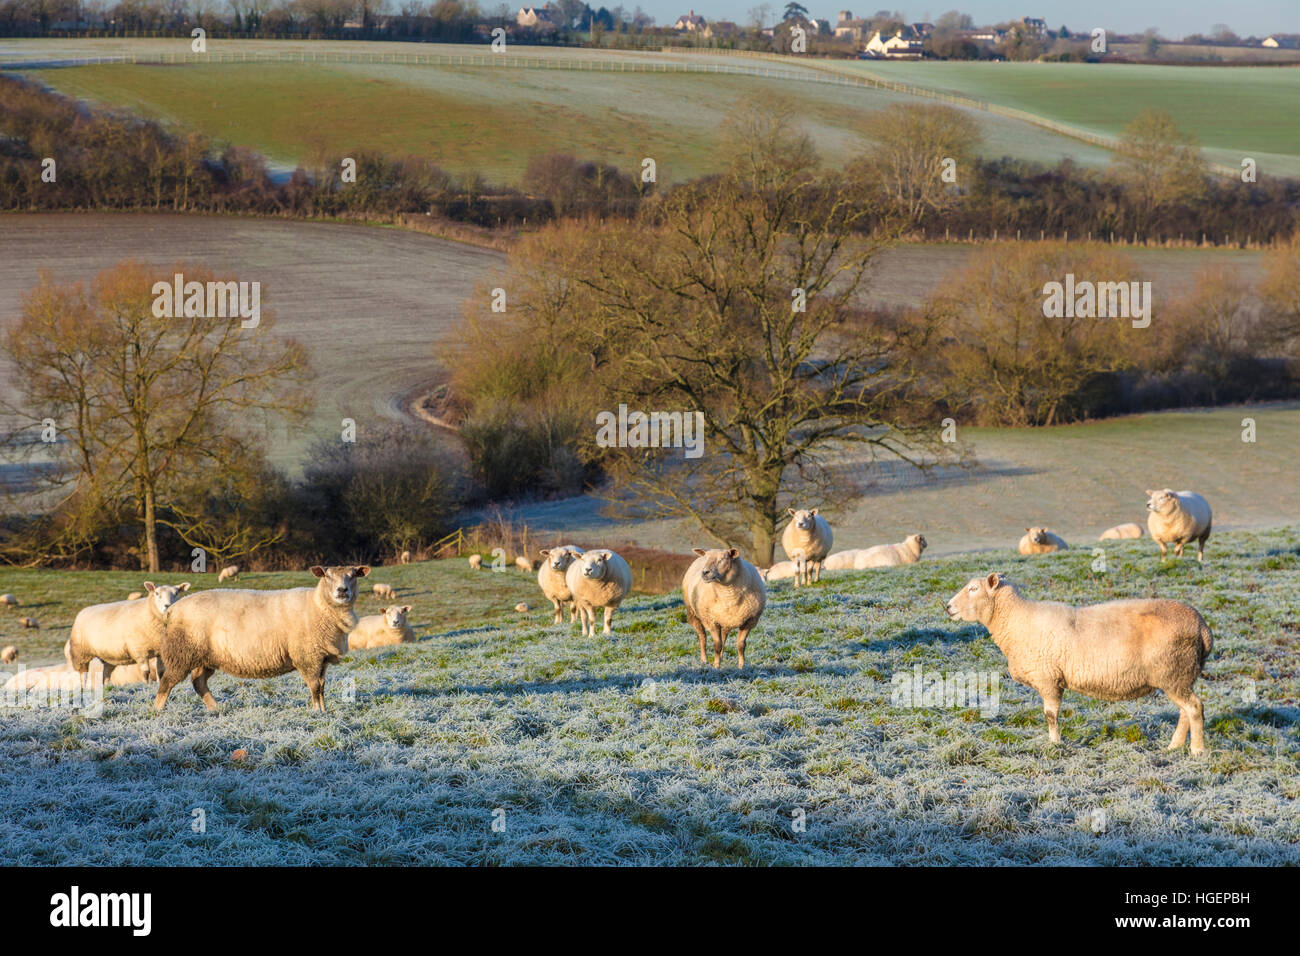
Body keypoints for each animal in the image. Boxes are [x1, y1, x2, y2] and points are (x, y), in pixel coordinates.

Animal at [152, 564, 369, 712]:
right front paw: (317, 712)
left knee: (199, 683)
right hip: (182, 652)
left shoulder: (320, 658)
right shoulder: (307, 656)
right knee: (167, 682)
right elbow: (315, 687)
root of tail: (171, 610)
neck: (320, 606)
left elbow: (322, 687)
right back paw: (158, 710)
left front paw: (323, 711)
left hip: (205, 657)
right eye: (327, 576)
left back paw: (216, 708)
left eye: (353, 576)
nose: (342, 590)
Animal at [946, 574, 1206, 754]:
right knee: (1185, 711)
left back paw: (1197, 751)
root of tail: (1203, 627)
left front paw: (1055, 743)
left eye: (973, 588)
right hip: (1180, 675)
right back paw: (1174, 746)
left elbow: (1050, 715)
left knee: (1194, 708)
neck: (1015, 620)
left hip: (1174, 672)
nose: (947, 606)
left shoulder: (1048, 679)